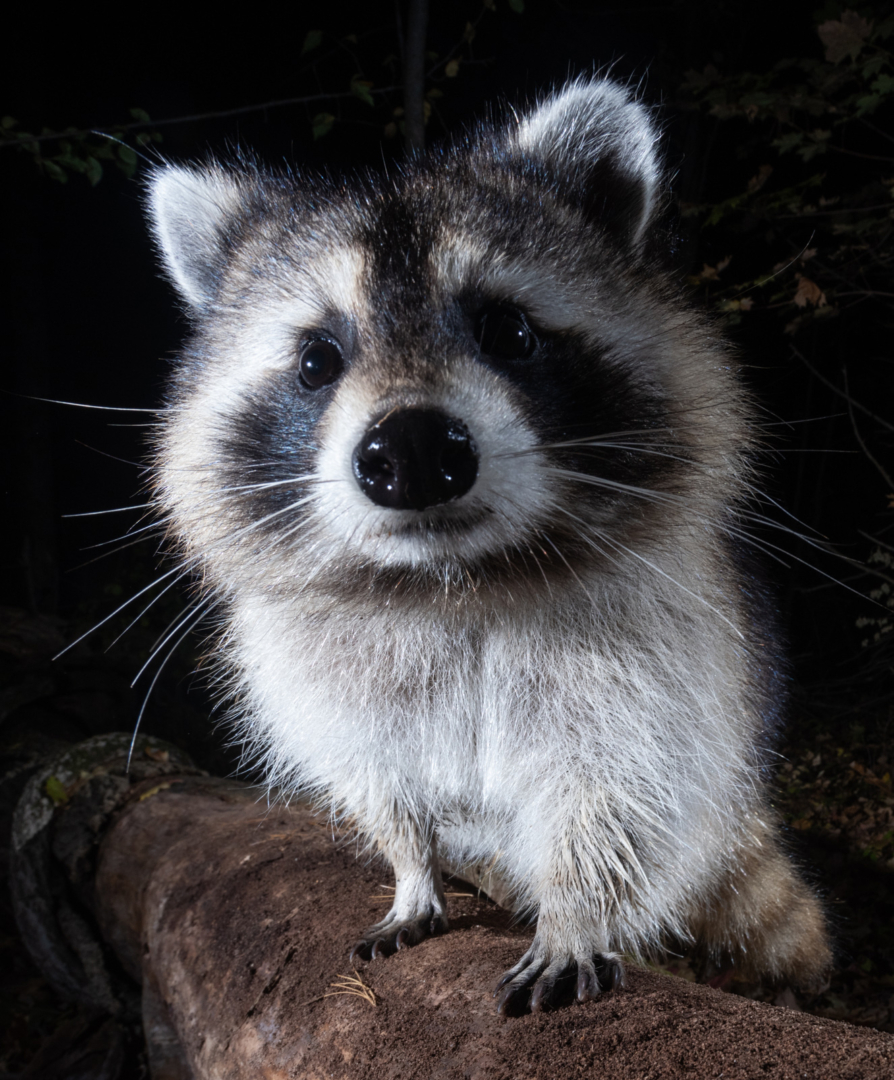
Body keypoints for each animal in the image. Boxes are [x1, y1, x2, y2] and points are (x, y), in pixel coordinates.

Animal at [145, 79, 831, 1013]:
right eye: (318, 359)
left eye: (508, 330)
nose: (411, 452)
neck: (449, 580)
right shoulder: (319, 672)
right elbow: (379, 784)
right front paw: (411, 871)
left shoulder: (662, 655)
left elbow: (619, 799)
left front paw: (577, 912)